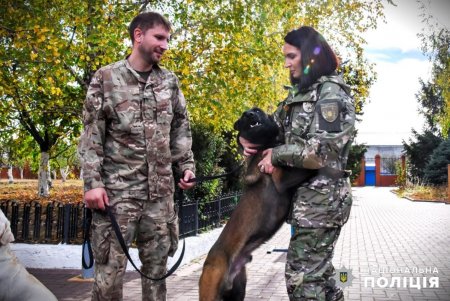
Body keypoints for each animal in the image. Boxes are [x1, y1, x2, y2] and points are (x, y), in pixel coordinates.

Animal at [199, 108, 318, 300]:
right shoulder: (280, 179)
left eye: (256, 110)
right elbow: (311, 167)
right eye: (243, 115)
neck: (265, 144)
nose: (249, 114)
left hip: (238, 291)